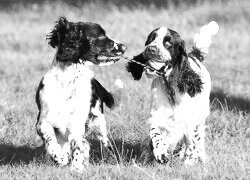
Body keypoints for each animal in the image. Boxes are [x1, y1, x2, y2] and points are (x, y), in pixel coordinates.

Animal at [35, 17, 127, 171]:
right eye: (101, 36)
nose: (124, 46)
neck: (68, 81)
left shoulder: (76, 123)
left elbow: (78, 146)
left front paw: (77, 168)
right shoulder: (43, 121)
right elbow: (50, 139)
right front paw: (59, 157)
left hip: (98, 122)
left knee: (105, 143)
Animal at [127, 21, 219, 165]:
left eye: (168, 42)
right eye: (150, 39)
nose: (150, 49)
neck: (170, 88)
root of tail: (194, 55)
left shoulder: (190, 120)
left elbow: (192, 142)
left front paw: (189, 162)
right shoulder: (158, 116)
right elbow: (155, 133)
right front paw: (160, 153)